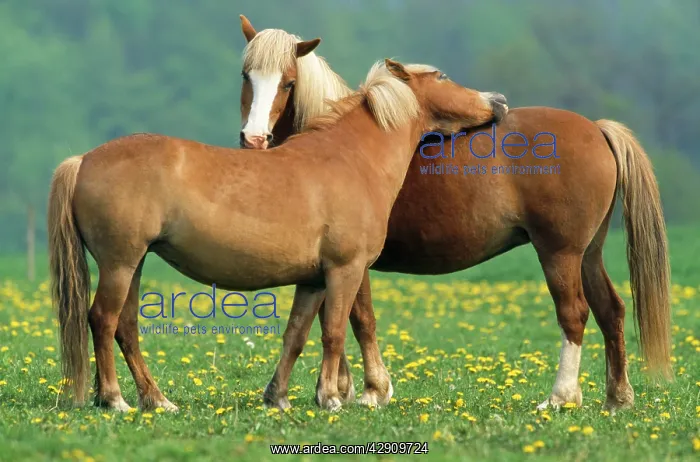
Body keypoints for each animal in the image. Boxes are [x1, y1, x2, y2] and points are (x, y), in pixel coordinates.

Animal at [48, 58, 508, 412]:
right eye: (442, 76)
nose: (498, 101)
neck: (351, 160)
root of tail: (83, 160)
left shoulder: (313, 280)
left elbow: (297, 335)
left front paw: (279, 397)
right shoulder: (344, 270)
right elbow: (335, 331)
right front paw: (331, 398)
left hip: (135, 262)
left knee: (125, 327)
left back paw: (155, 400)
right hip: (120, 263)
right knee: (103, 320)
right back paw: (114, 399)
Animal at [238, 16, 671, 413]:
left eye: (288, 82)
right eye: (246, 75)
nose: (254, 139)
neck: (342, 145)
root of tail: (596, 129)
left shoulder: (351, 262)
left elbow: (357, 318)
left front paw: (369, 390)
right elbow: (334, 316)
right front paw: (342, 388)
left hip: (559, 254)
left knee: (574, 314)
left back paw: (561, 397)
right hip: (588, 253)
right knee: (610, 310)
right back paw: (617, 398)